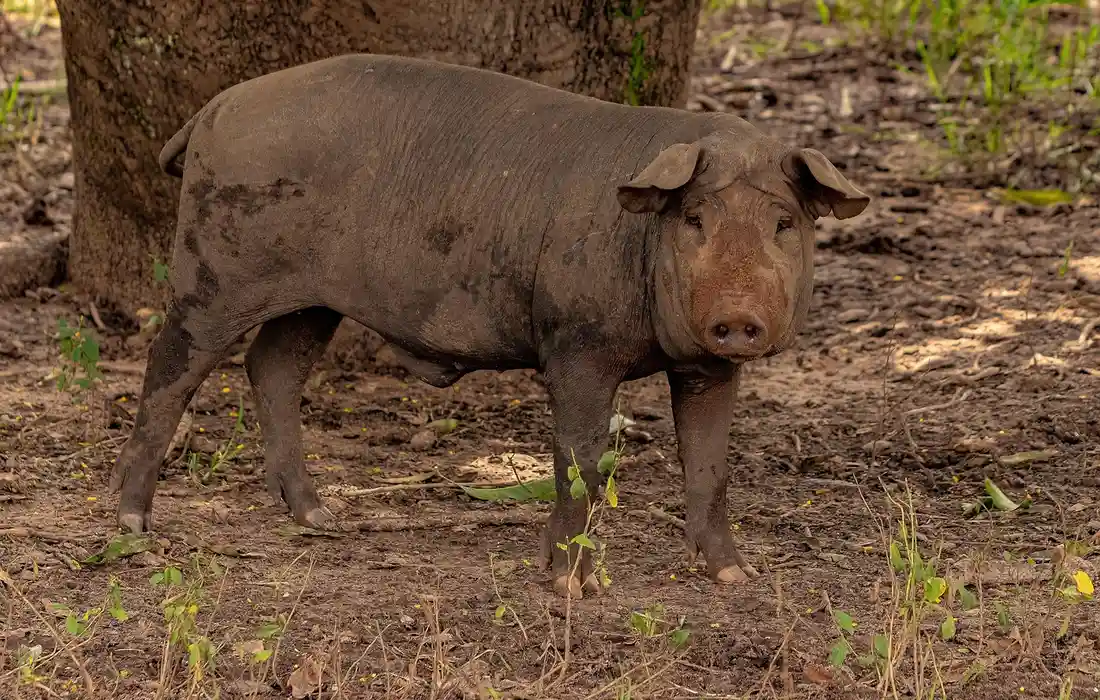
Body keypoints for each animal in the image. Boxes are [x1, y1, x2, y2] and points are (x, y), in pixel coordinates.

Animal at [110, 53, 869, 598]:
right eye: (694, 219)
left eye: (785, 223)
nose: (737, 315)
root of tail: (217, 107)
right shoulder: (576, 345)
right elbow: (580, 458)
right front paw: (570, 588)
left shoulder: (707, 366)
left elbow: (711, 466)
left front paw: (736, 577)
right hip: (216, 268)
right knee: (172, 366)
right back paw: (133, 526)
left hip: (312, 301)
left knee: (271, 368)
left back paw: (322, 520)